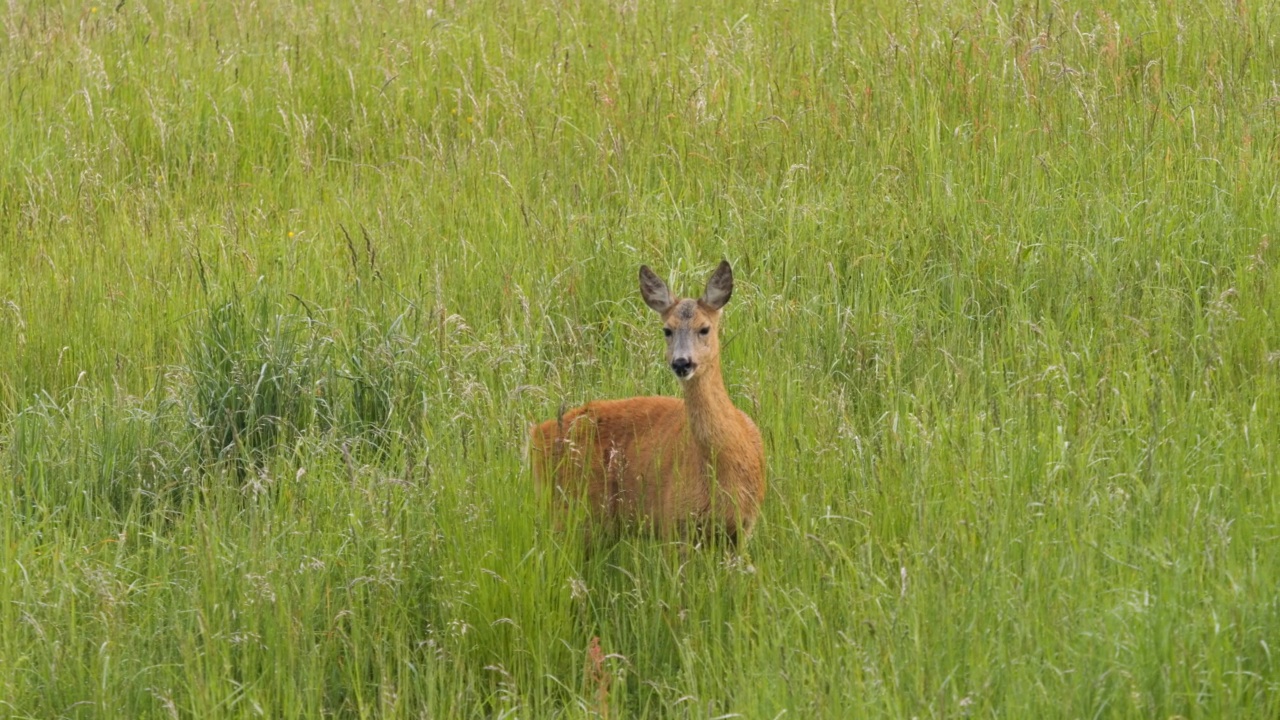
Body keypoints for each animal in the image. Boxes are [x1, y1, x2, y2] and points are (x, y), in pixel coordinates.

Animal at [527, 257, 762, 543]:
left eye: (704, 329)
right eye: (667, 330)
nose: (682, 363)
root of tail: (538, 434)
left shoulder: (743, 528)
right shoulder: (673, 520)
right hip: (570, 508)